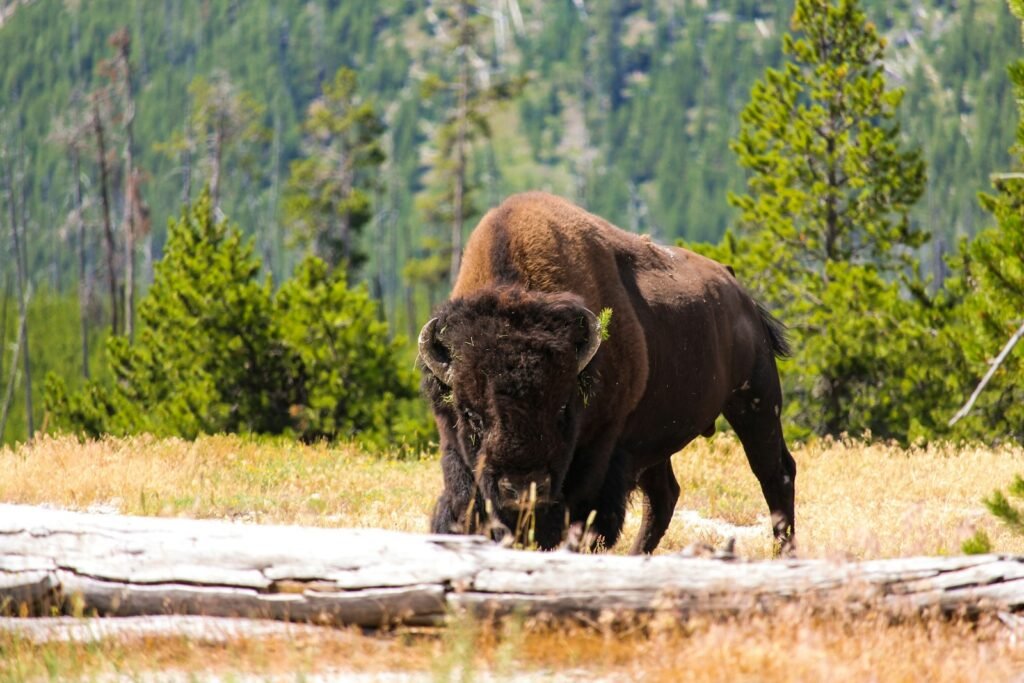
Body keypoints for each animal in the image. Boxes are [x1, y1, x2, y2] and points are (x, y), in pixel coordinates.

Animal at [418, 192, 795, 553]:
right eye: (470, 414)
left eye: (562, 409)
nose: (522, 489)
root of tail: (739, 291)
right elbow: (462, 504)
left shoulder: (602, 449)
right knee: (665, 495)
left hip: (756, 402)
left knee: (776, 473)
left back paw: (783, 552)